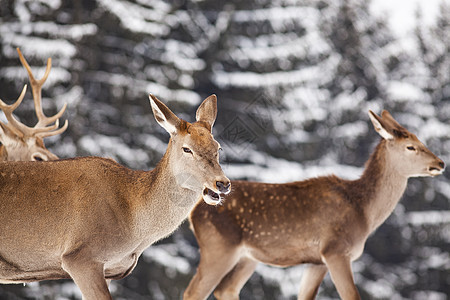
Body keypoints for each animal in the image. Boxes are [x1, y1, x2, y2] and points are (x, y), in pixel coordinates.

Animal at [185, 110, 444, 300]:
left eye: (421, 139)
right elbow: (351, 295)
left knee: (225, 289)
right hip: (219, 245)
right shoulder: (335, 249)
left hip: (248, 257)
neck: (364, 212)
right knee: (194, 292)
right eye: (411, 146)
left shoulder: (316, 261)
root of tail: (193, 212)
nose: (440, 163)